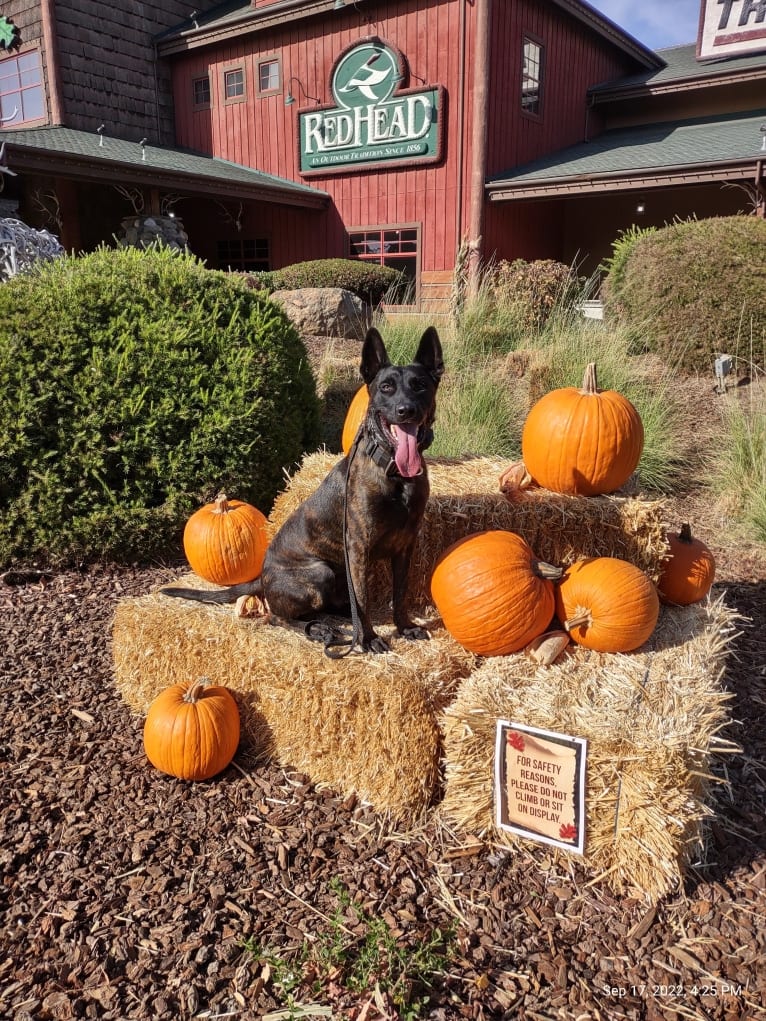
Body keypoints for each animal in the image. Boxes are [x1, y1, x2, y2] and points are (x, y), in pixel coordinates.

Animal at [162, 330, 443, 657]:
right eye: (386, 387)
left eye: (420, 385)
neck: (395, 473)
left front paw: (404, 626)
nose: (405, 410)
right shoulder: (358, 548)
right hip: (320, 572)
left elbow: (400, 593)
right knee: (278, 617)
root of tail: (262, 577)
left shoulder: (405, 547)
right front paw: (369, 638)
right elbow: (362, 601)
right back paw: (321, 629)